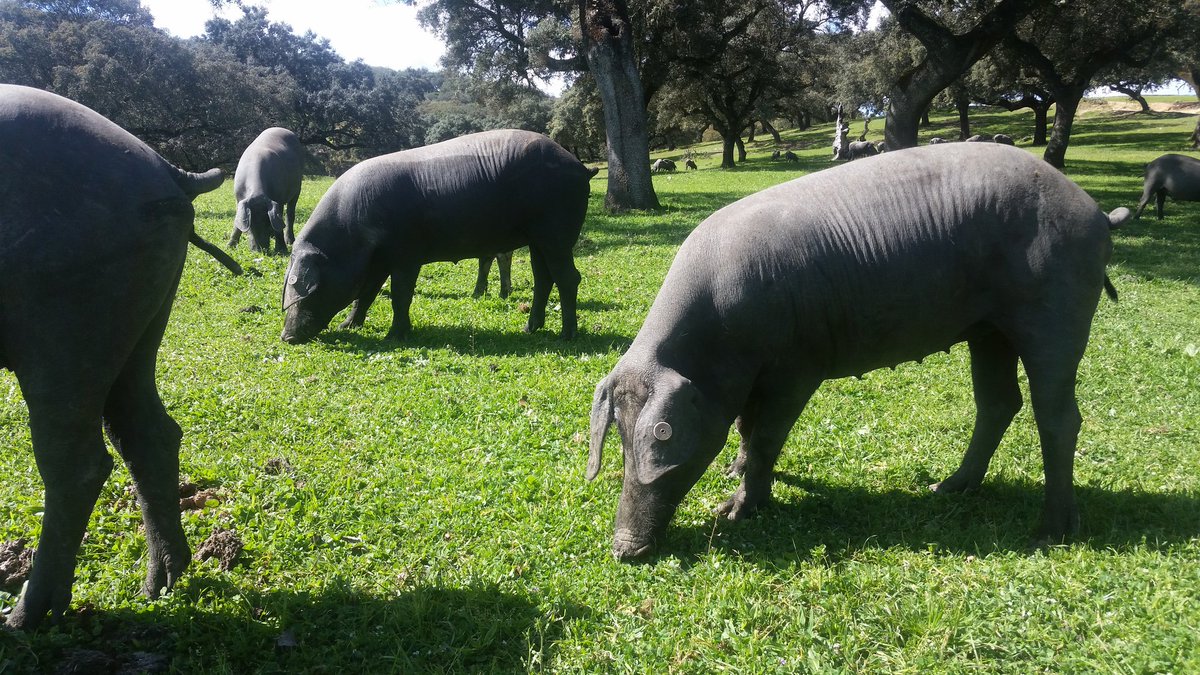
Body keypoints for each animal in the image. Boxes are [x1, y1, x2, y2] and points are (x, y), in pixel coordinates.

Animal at [0, 84, 226, 627]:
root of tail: (164, 168)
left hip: (66, 330)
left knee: (76, 462)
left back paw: (26, 616)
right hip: (137, 326)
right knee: (149, 431)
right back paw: (161, 583)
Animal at [281, 130, 596, 344]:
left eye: (311, 288)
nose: (286, 337)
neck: (355, 233)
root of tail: (581, 168)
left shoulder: (407, 255)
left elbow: (400, 295)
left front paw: (394, 336)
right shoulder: (378, 261)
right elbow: (366, 294)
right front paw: (347, 326)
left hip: (556, 232)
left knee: (569, 278)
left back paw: (566, 335)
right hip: (537, 239)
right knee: (544, 278)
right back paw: (529, 329)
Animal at [588, 143, 1128, 561]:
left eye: (661, 443)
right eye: (620, 441)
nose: (624, 550)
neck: (716, 338)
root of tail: (1097, 212)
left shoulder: (796, 370)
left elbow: (766, 438)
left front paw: (735, 511)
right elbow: (744, 428)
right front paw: (732, 470)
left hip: (1055, 314)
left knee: (1059, 415)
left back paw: (1049, 532)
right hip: (988, 332)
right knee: (998, 403)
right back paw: (945, 488)